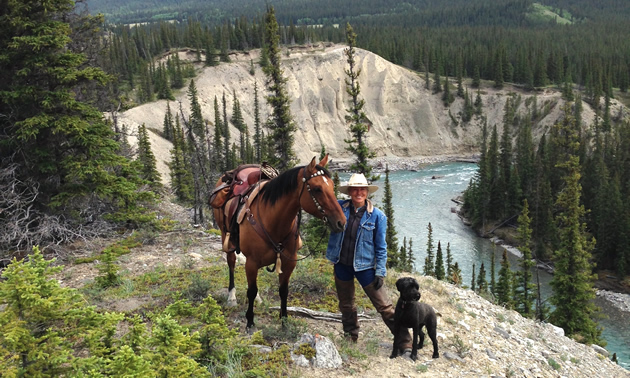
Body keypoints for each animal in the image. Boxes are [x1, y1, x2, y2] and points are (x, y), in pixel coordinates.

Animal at [215, 155, 348, 330]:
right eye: (317, 188)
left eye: (333, 186)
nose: (341, 223)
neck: (273, 221)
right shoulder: (251, 262)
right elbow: (251, 290)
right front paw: (250, 321)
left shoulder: (288, 261)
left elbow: (283, 290)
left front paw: (284, 321)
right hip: (226, 235)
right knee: (231, 262)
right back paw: (231, 297)